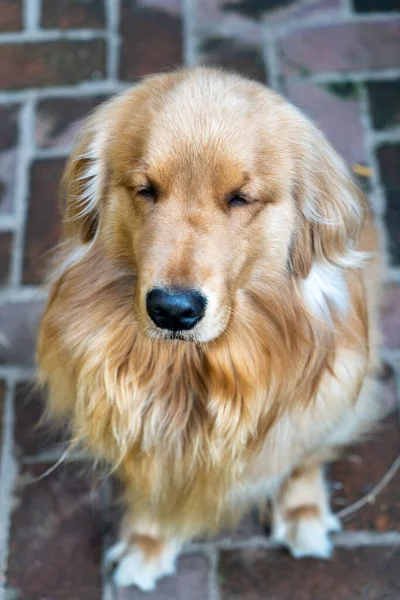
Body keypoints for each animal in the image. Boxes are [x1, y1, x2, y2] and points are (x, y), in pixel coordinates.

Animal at [36, 67, 382, 592]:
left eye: (241, 198)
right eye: (145, 189)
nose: (173, 310)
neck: (200, 370)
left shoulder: (334, 392)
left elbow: (303, 456)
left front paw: (301, 510)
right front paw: (148, 539)